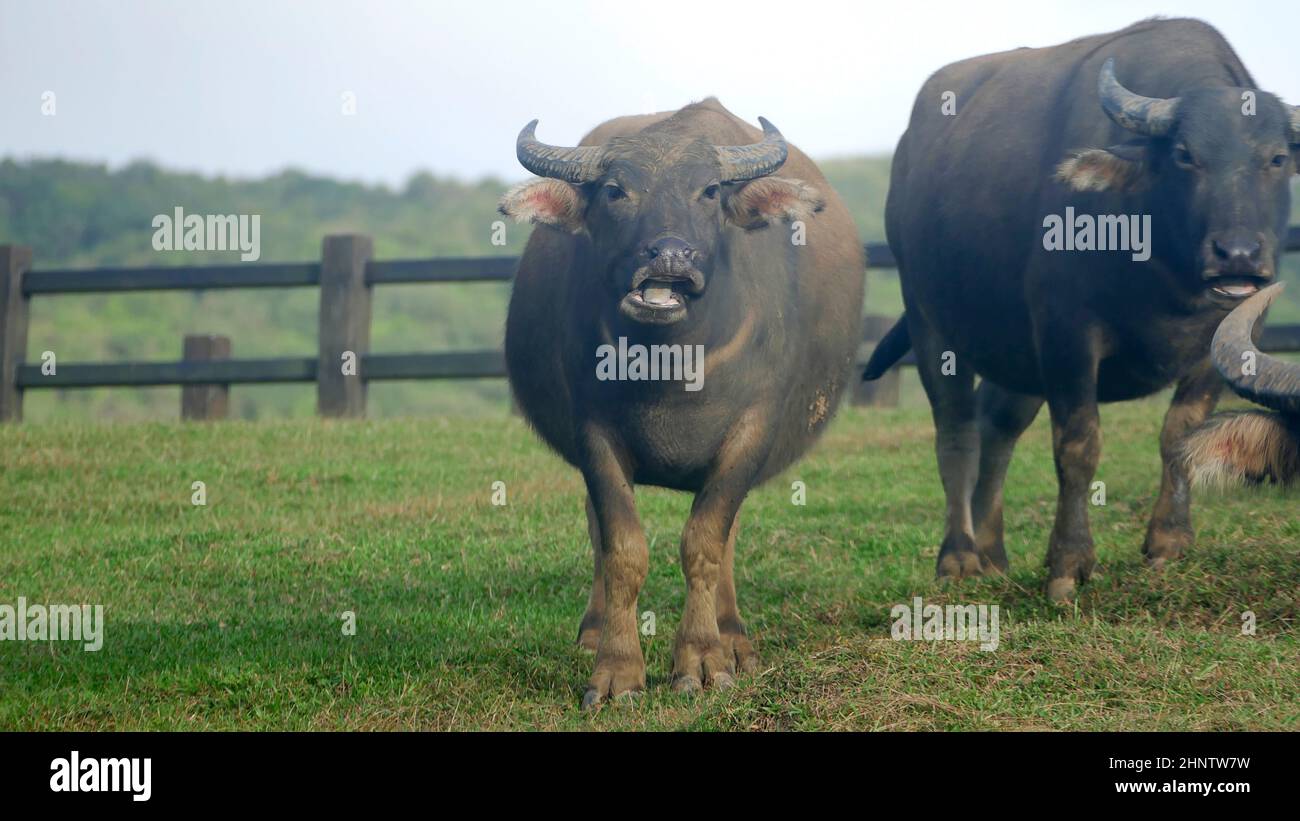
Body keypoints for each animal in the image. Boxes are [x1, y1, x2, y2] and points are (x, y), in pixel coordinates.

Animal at [496, 98, 863, 706]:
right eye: (615, 190)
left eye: (710, 190)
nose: (669, 255)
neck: (671, 364)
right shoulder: (593, 433)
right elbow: (622, 548)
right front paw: (617, 670)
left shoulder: (751, 432)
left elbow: (706, 543)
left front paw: (705, 660)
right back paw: (593, 630)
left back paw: (734, 637)